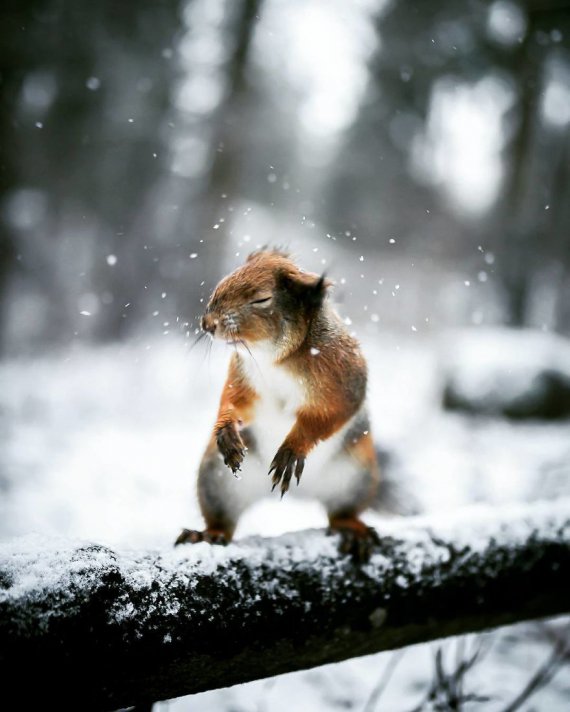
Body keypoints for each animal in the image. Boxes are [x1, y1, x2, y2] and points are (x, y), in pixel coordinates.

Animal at [175, 248, 380, 560]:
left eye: (261, 299)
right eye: (222, 284)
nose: (207, 324)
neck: (273, 356)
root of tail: (300, 495)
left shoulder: (343, 376)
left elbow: (330, 414)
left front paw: (292, 449)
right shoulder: (243, 376)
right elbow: (233, 401)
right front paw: (226, 431)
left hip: (355, 476)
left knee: (340, 512)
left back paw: (352, 530)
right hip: (216, 479)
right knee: (224, 519)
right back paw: (209, 534)